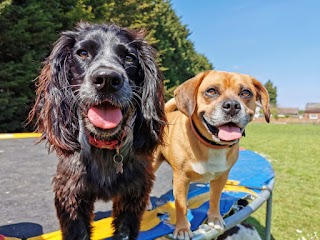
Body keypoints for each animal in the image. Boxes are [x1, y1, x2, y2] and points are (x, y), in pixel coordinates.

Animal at [28, 22, 165, 238]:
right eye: (83, 53)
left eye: (129, 57)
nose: (107, 79)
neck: (105, 147)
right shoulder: (71, 194)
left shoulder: (133, 194)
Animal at [154, 70, 268, 239]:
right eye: (211, 91)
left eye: (246, 93)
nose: (232, 106)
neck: (212, 145)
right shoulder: (182, 177)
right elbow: (180, 208)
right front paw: (182, 228)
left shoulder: (221, 178)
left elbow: (215, 198)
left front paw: (214, 218)